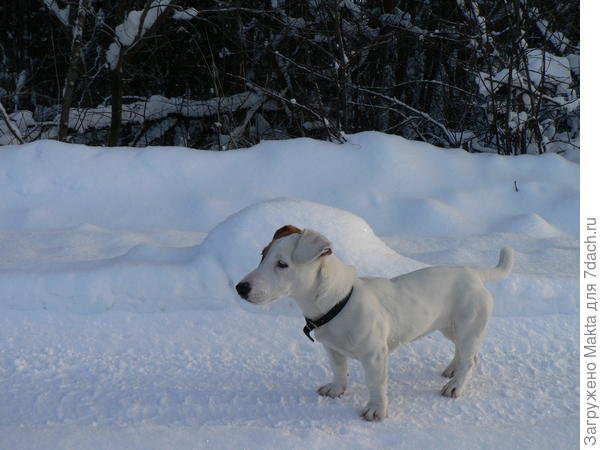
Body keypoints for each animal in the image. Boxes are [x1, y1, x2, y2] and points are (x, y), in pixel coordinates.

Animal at [237, 227, 512, 420]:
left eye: (282, 264)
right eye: (262, 255)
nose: (240, 288)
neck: (338, 301)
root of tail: (474, 273)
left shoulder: (375, 355)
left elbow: (375, 383)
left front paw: (376, 410)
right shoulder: (332, 349)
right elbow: (339, 369)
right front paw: (336, 389)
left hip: (468, 327)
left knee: (471, 359)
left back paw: (455, 386)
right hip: (449, 327)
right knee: (462, 352)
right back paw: (452, 369)